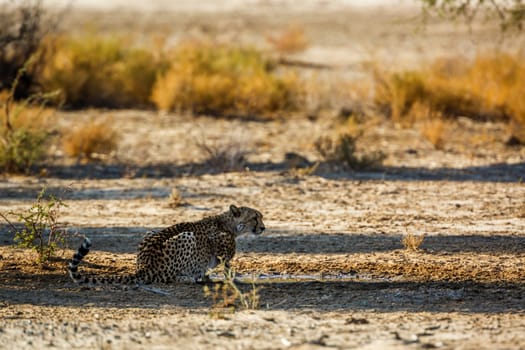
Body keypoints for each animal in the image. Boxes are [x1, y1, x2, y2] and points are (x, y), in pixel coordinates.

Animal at [68, 205, 266, 288]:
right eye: (255, 217)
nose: (263, 228)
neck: (229, 225)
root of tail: (144, 267)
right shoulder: (219, 240)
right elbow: (227, 265)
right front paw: (233, 279)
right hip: (187, 236)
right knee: (169, 278)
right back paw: (189, 278)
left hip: (150, 232)